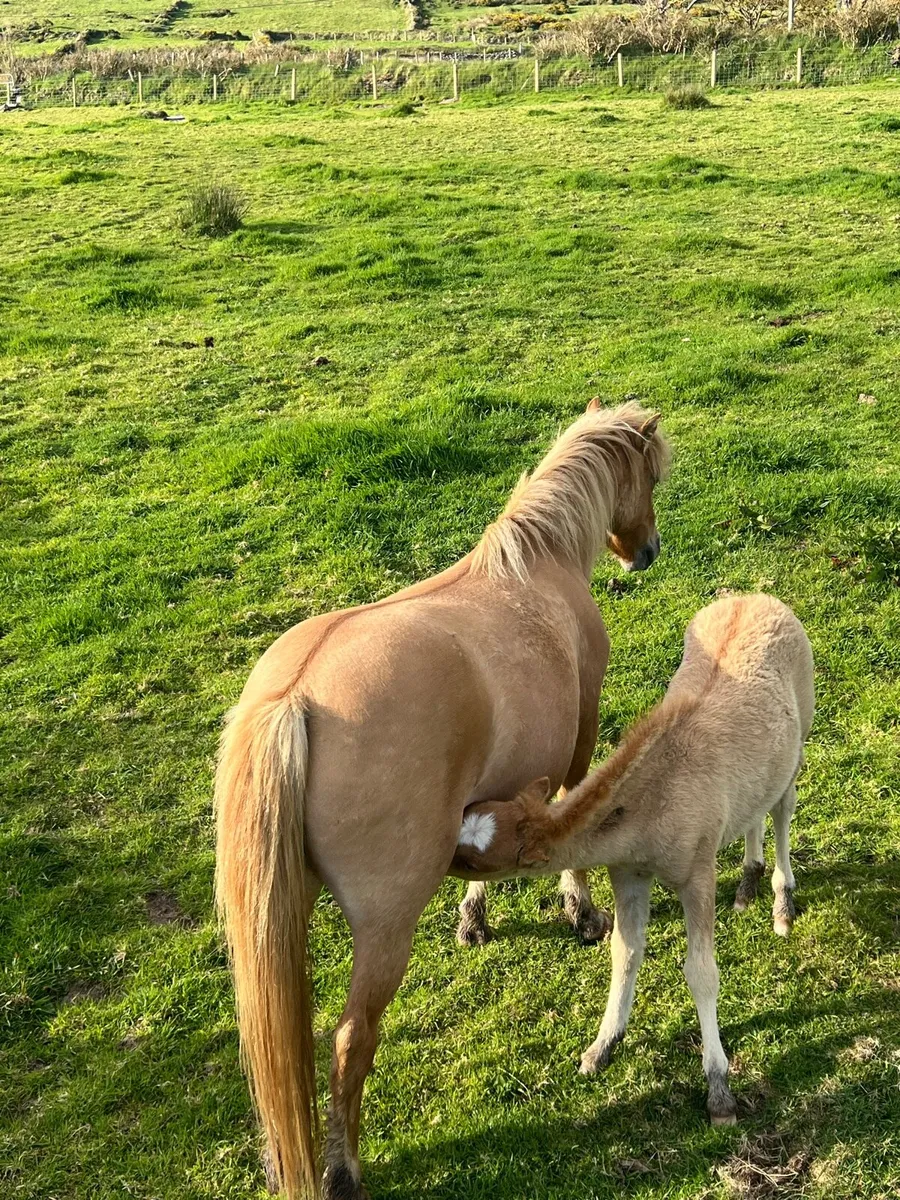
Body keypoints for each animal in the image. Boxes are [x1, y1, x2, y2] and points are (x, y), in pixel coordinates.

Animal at [215, 400, 670, 1199]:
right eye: (650, 474)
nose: (645, 551)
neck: (537, 565)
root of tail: (294, 699)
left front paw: (474, 920)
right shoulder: (580, 739)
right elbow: (573, 823)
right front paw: (580, 912)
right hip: (383, 932)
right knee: (349, 1041)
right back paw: (342, 1169)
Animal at [452, 593, 814, 1125]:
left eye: (473, 862)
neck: (648, 804)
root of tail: (758, 597)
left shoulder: (697, 873)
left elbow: (701, 972)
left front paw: (719, 1089)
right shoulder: (627, 874)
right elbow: (624, 953)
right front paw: (601, 1047)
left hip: (800, 731)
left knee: (784, 804)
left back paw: (781, 903)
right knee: (756, 803)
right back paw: (748, 882)